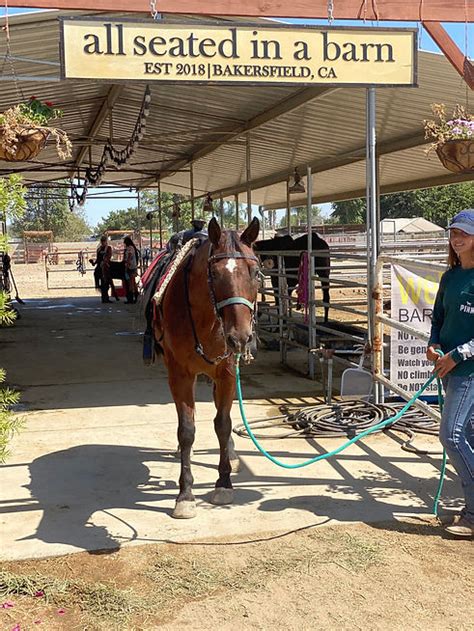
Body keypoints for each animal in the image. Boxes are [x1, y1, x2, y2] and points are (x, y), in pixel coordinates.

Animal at [151, 217, 260, 520]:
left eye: (256, 272)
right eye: (213, 274)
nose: (241, 338)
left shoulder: (226, 373)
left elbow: (223, 424)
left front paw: (224, 483)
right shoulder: (179, 374)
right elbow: (187, 430)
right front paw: (185, 494)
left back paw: (231, 453)